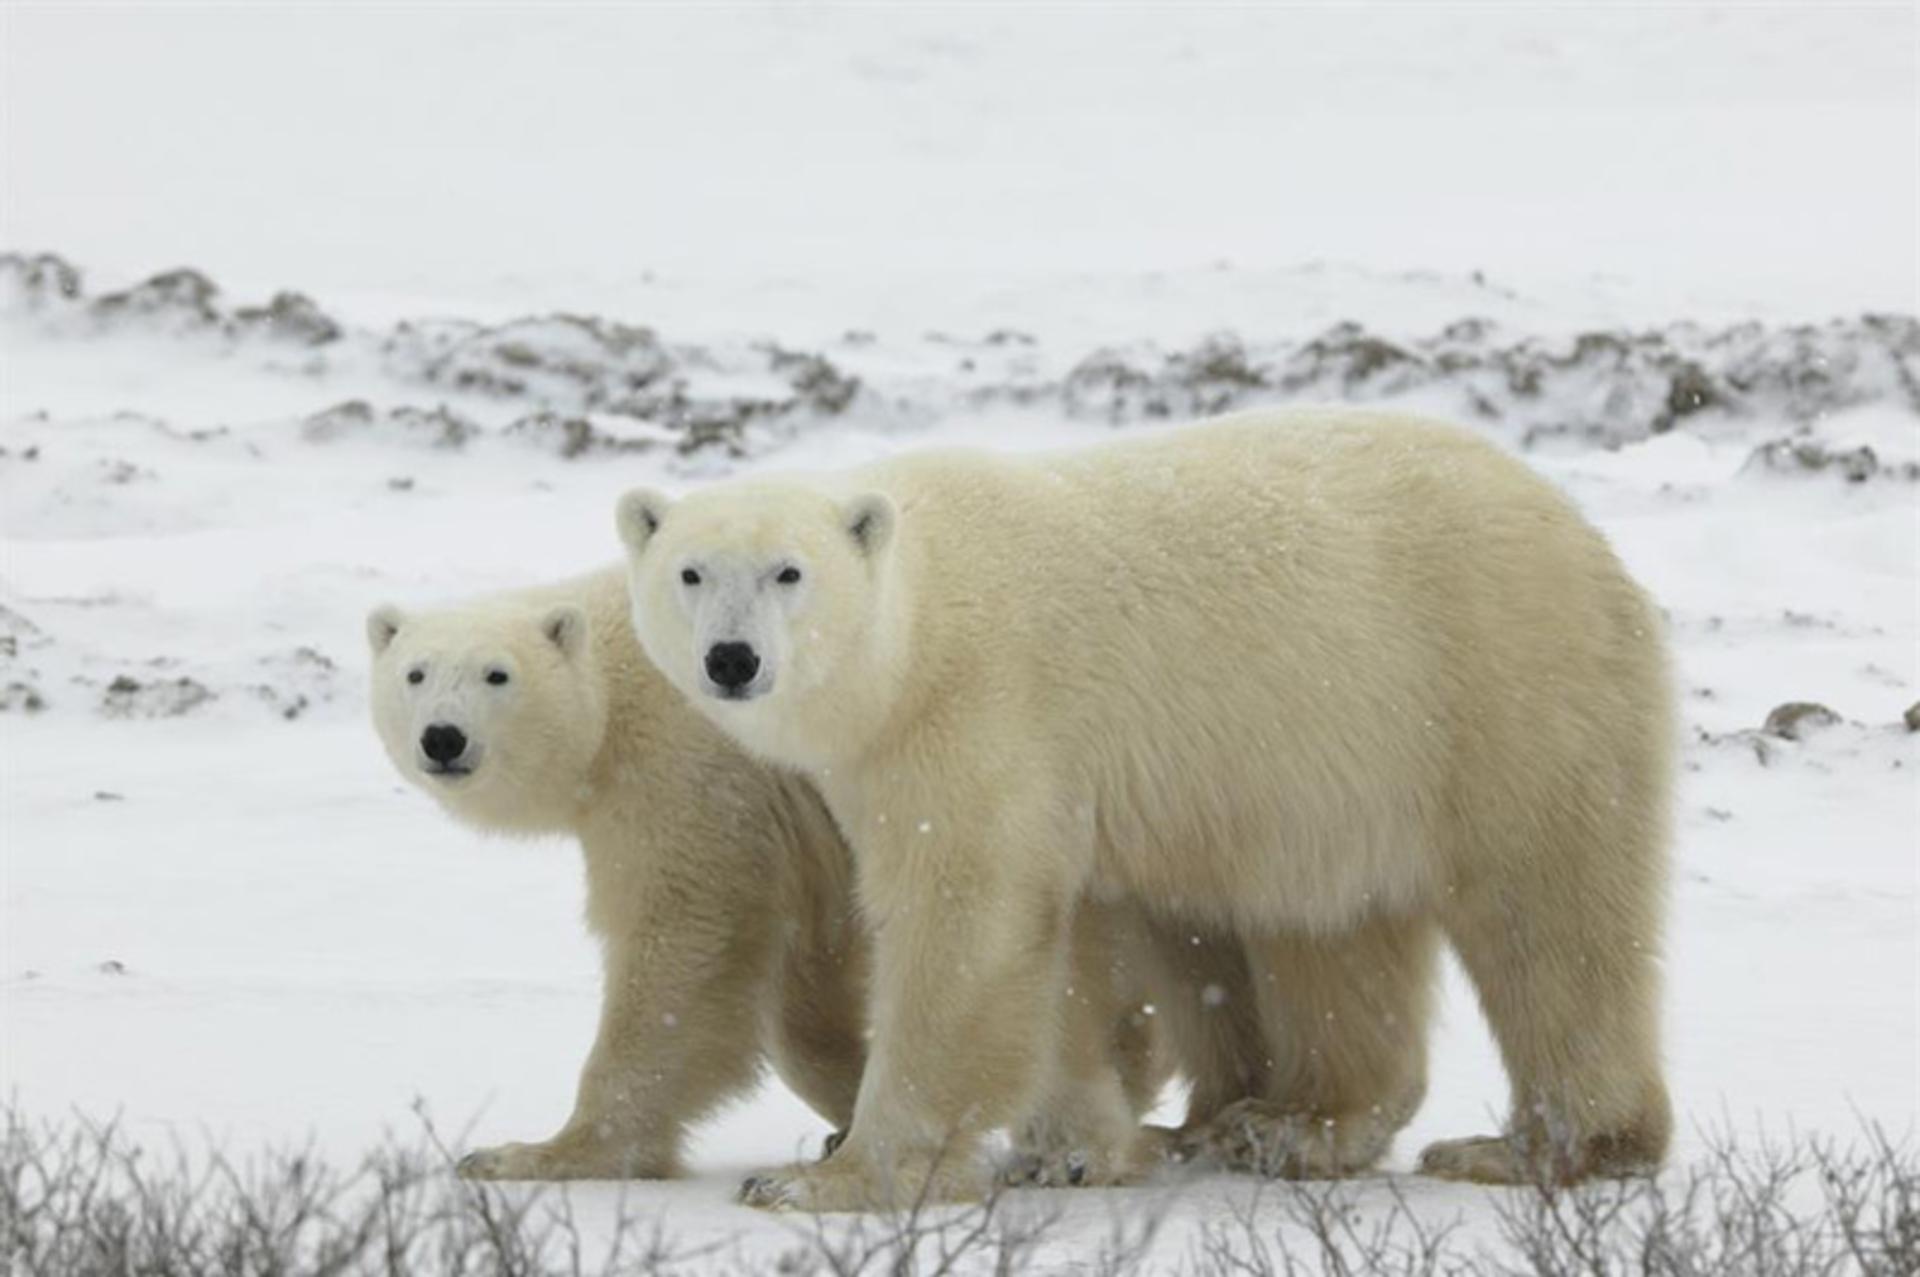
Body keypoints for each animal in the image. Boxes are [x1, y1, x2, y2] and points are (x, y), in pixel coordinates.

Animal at [366, 566, 1170, 1186]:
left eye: (497, 674)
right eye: (415, 672)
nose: (443, 738)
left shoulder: (693, 773)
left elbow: (688, 942)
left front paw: (532, 1154)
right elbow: (805, 977)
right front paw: (846, 1114)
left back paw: (1083, 1149)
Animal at [615, 406, 1675, 1211]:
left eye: (789, 571)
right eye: (691, 571)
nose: (733, 659)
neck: (921, 626)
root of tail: (1578, 527)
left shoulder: (978, 715)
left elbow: (964, 924)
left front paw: (829, 1178)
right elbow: (1068, 950)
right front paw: (1076, 1150)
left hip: (1499, 687)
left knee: (1550, 916)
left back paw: (1541, 1146)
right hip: (1339, 780)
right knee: (1328, 932)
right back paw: (1282, 1124)